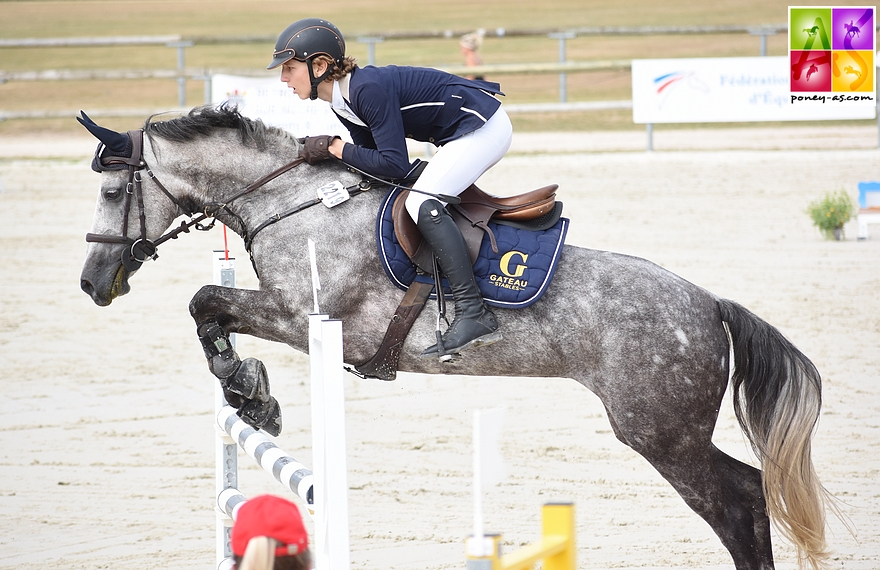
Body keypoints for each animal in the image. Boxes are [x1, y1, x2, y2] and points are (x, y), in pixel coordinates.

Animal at [79, 105, 828, 564]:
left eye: (114, 194)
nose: (93, 284)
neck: (289, 202)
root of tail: (709, 305)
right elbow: (209, 308)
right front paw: (249, 394)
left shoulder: (304, 317)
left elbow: (206, 300)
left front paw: (250, 390)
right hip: (671, 433)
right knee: (751, 490)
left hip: (660, 433)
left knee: (738, 502)